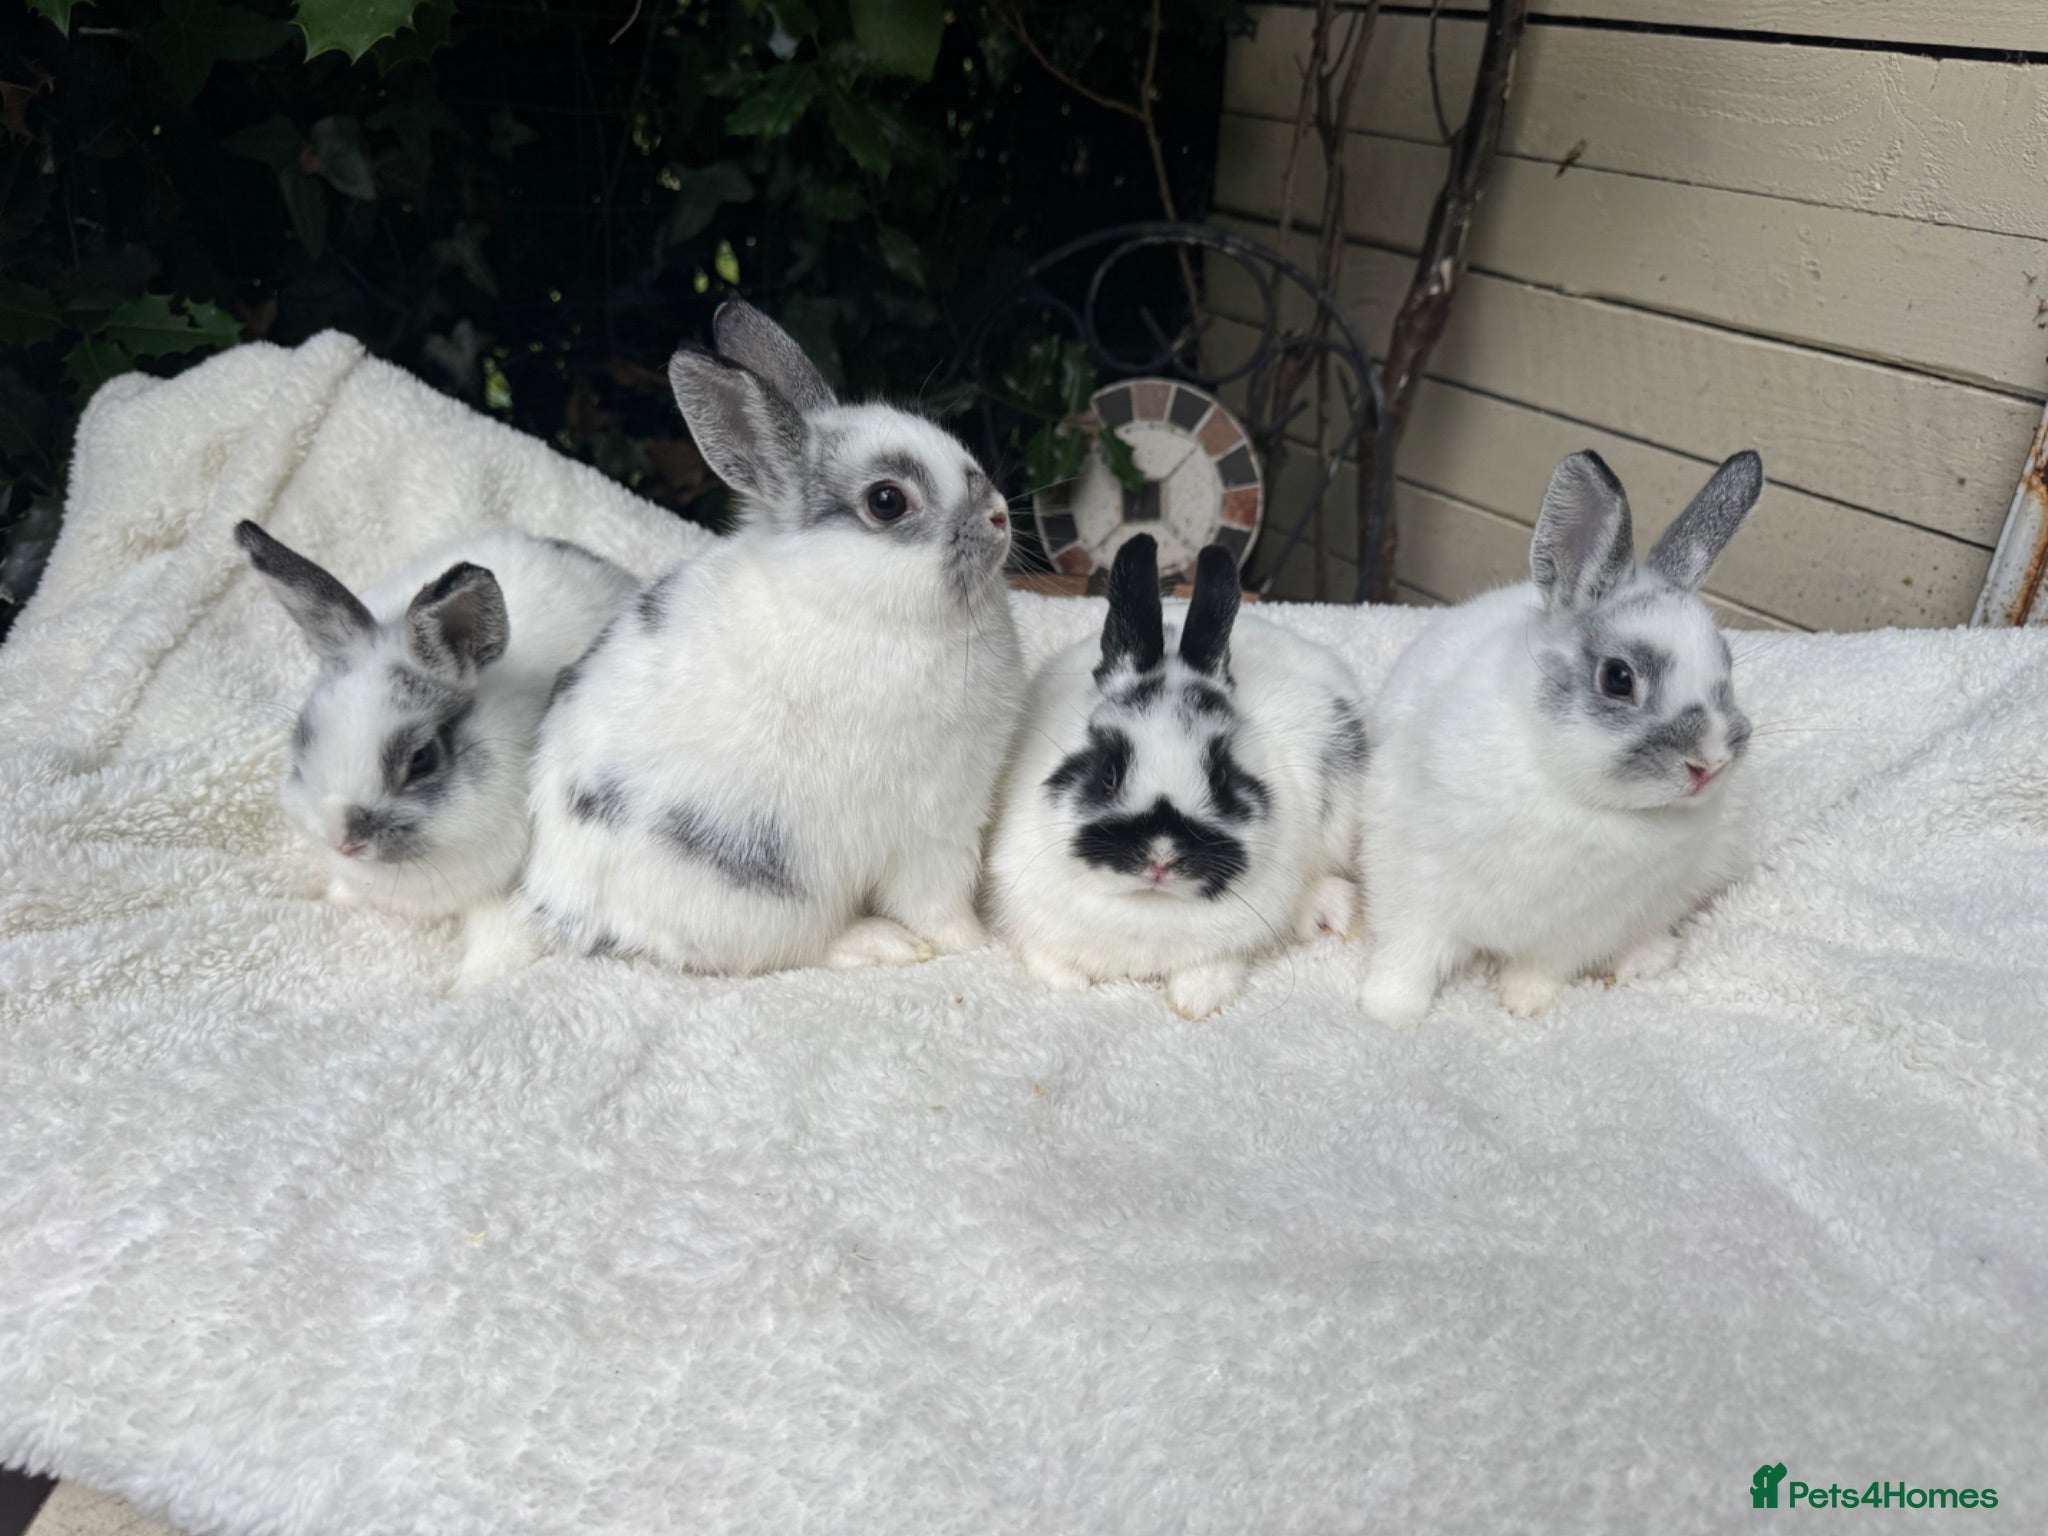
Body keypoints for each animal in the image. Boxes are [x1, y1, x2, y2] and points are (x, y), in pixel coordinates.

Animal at [513, 299, 1022, 974]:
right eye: (887, 501)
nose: (1000, 517)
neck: (849, 603)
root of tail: (556, 902)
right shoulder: (932, 825)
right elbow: (938, 903)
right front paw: (978, 944)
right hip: (761, 892)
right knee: (798, 947)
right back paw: (878, 943)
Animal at [987, 534, 1368, 1020]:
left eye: (1220, 775)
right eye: (1109, 771)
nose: (1162, 857)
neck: (1148, 906)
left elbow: (1214, 970)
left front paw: (1194, 1001)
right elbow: (1049, 962)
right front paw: (1070, 985)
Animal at [1355, 447, 1764, 1025]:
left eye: (1726, 672)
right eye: (1618, 678)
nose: (1708, 764)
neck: (1569, 792)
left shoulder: (1581, 926)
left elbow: (1542, 966)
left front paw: (1525, 1005)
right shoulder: (1412, 877)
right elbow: (1409, 953)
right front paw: (1388, 1012)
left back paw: (1647, 958)